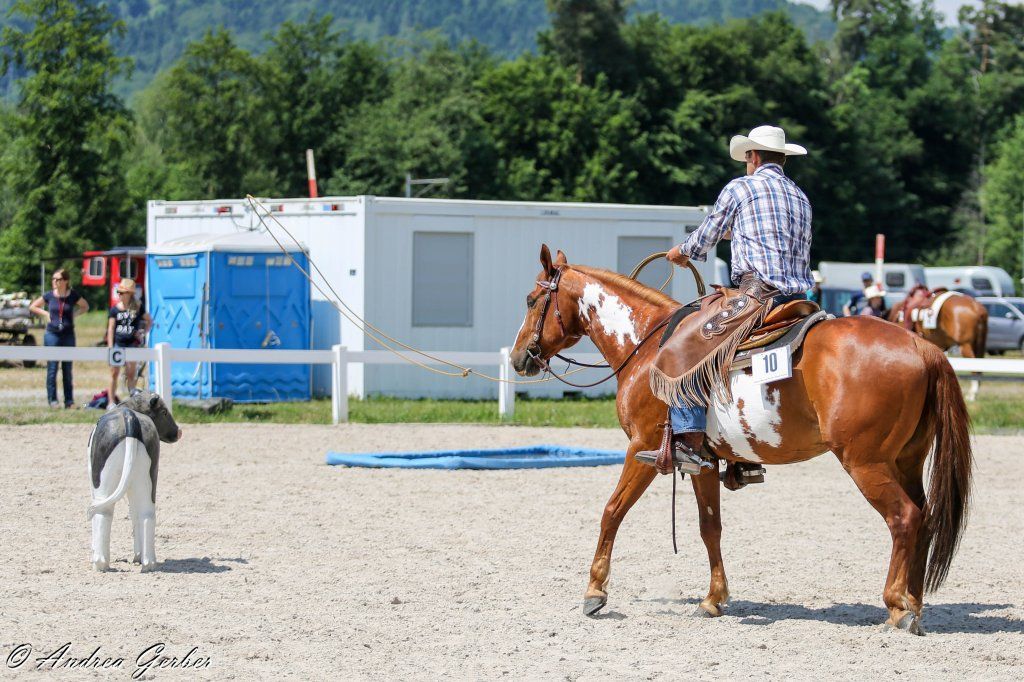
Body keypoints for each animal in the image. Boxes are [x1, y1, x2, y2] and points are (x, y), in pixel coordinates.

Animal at [510, 245, 973, 635]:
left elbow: (612, 512)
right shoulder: (702, 460)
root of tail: (925, 348)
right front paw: (714, 599)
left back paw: (897, 605)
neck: (646, 347)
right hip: (907, 461)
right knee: (926, 518)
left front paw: (595, 592)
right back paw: (915, 602)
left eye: (532, 300)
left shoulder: (641, 449)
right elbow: (709, 526)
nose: (518, 358)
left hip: (866, 463)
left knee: (904, 518)